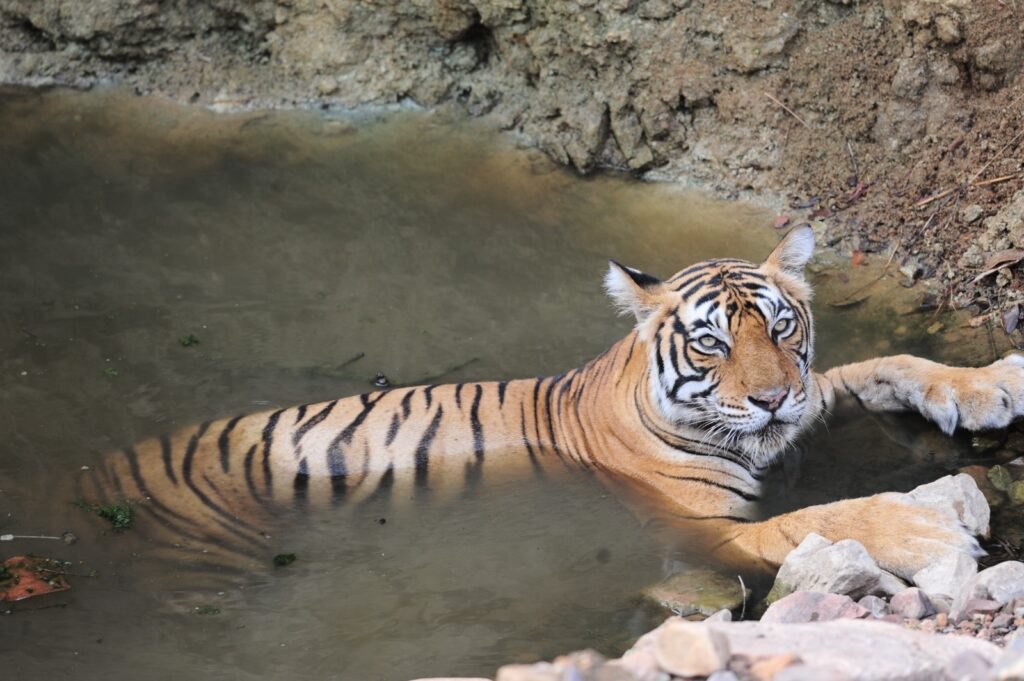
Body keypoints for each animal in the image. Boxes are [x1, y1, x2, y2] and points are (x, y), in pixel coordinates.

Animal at [79, 225, 1024, 583]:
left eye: (783, 327)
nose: (768, 398)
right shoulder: (702, 529)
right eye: (712, 343)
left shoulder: (809, 397)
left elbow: (885, 363)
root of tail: (92, 471)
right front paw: (925, 527)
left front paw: (992, 381)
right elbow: (822, 518)